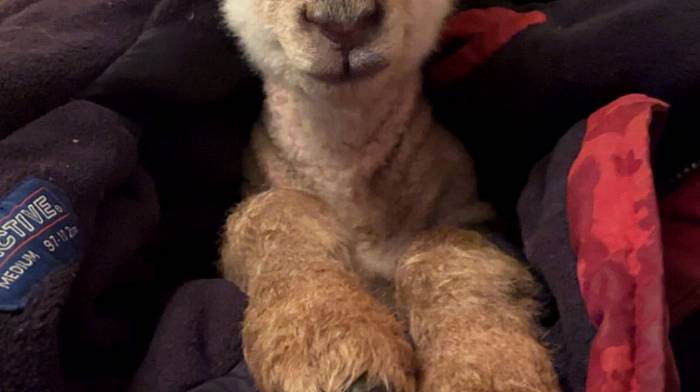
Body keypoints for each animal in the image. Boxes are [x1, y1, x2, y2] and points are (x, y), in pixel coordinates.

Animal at [219, 1, 556, 390]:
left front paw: (484, 370)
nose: (344, 24)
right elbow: (271, 212)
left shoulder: (474, 213)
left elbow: (445, 251)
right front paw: (332, 347)